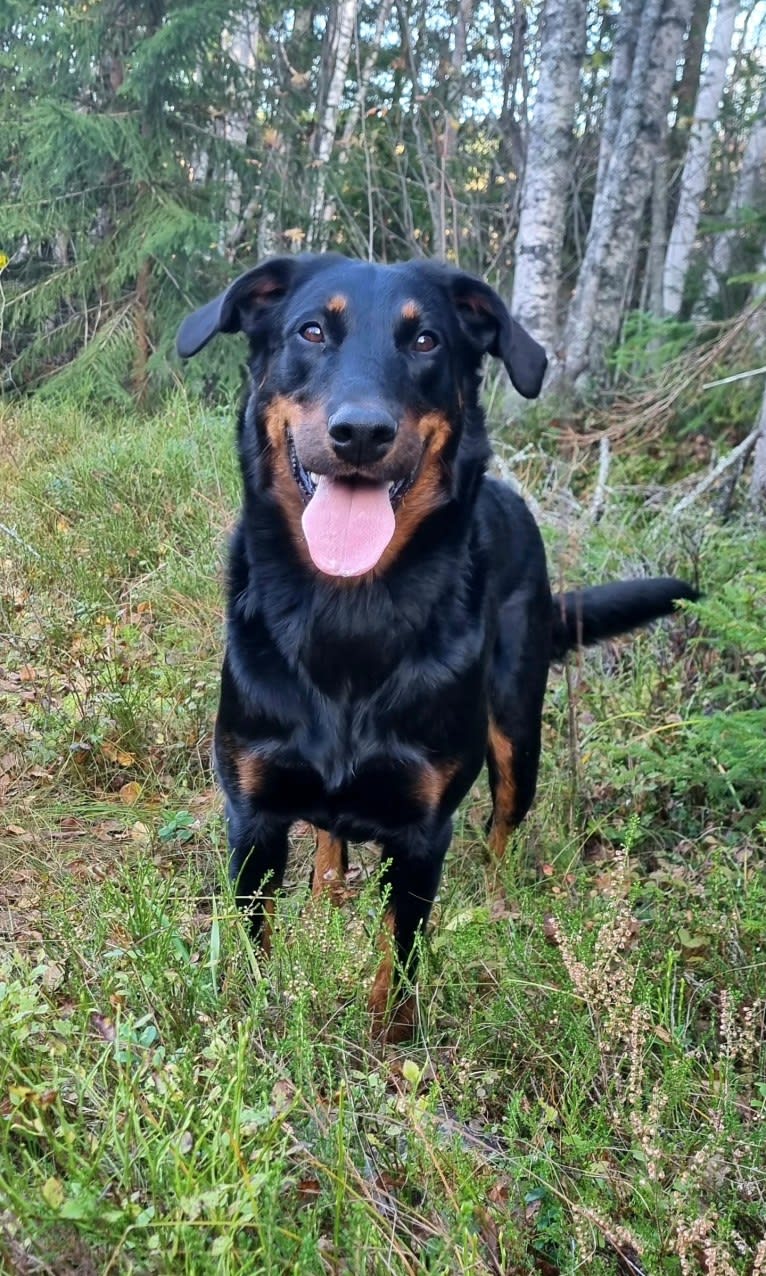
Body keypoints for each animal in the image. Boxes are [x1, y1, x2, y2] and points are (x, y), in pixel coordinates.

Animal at [176, 253, 699, 1041]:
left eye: (426, 341)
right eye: (310, 330)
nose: (362, 432)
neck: (349, 612)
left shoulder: (423, 833)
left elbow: (401, 953)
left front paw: (390, 1042)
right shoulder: (254, 813)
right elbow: (256, 943)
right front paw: (257, 1023)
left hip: (517, 729)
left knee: (501, 826)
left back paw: (497, 904)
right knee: (331, 838)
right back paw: (329, 893)